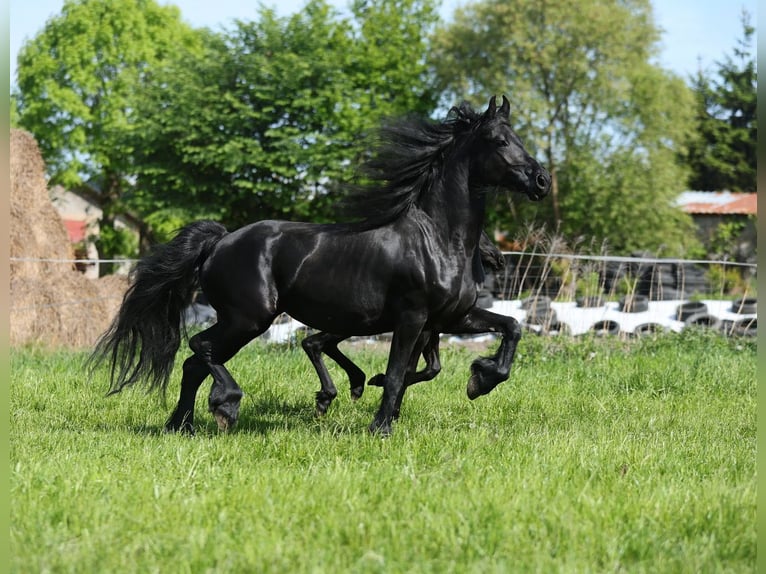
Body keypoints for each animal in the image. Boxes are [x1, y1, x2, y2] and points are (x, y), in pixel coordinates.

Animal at [302, 232, 510, 420]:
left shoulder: (433, 330)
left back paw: (352, 385)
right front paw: (389, 406)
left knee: (317, 342)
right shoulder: (423, 329)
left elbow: (432, 368)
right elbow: (414, 369)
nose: (499, 259)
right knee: (313, 342)